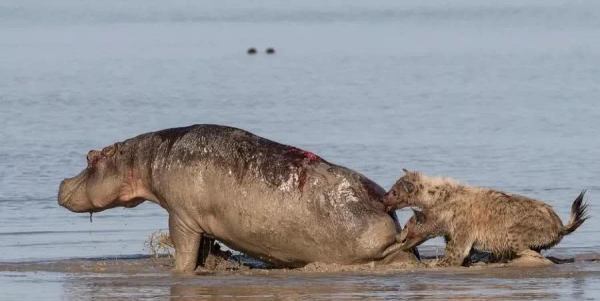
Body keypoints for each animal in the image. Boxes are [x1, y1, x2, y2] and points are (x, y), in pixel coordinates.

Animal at [59, 124, 418, 272]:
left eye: (90, 156)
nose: (61, 183)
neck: (140, 159)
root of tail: (385, 206)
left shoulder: (181, 215)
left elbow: (184, 250)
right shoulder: (200, 221)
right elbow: (202, 249)